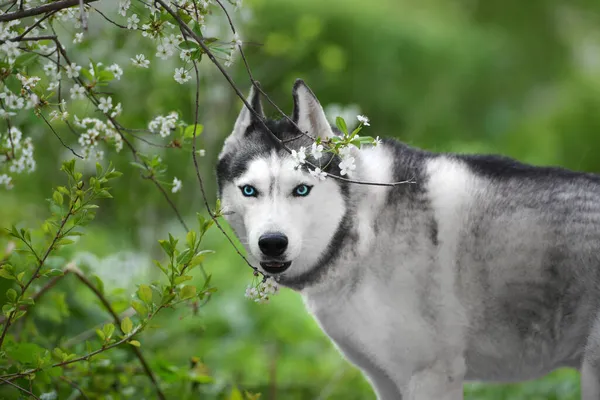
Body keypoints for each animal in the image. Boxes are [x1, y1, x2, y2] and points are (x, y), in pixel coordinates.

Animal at [217, 79, 600, 398]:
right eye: (249, 190)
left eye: (301, 189)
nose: (272, 242)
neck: (361, 226)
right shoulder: (384, 379)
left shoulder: (432, 375)